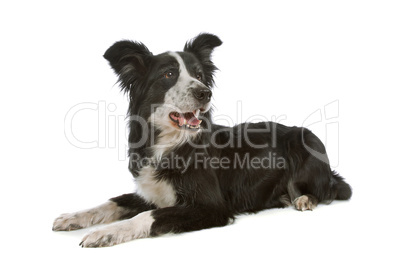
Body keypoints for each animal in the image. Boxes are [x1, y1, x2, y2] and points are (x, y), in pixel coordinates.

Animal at [53, 33, 352, 247]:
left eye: (199, 75)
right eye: (169, 74)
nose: (205, 92)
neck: (170, 143)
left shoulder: (211, 207)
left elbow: (148, 215)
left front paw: (105, 233)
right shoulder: (151, 192)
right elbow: (113, 202)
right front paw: (74, 217)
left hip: (309, 141)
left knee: (333, 188)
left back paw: (305, 198)